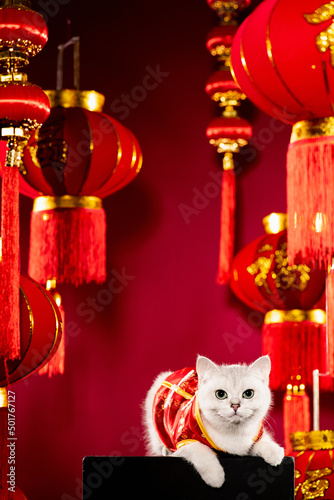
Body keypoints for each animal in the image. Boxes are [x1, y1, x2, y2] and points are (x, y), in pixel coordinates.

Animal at [144, 356, 284, 488]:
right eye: (220, 394)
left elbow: (263, 441)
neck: (233, 434)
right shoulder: (182, 439)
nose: (235, 405)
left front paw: (274, 452)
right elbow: (200, 450)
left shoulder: (255, 435)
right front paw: (215, 477)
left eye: (248, 393)